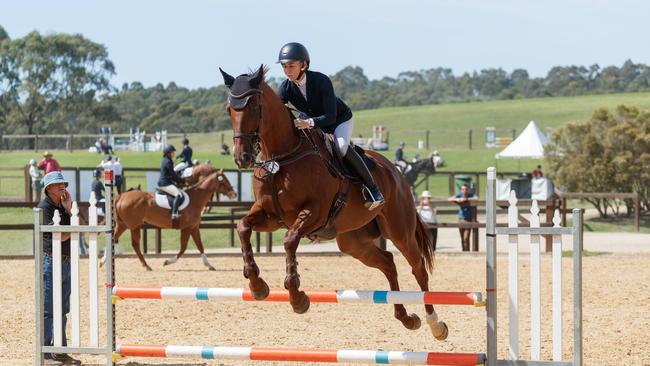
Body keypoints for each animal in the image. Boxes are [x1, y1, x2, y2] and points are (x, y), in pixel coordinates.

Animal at [220, 65, 448, 340]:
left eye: (254, 105)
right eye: (229, 108)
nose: (242, 157)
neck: (280, 158)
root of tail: (396, 172)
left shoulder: (314, 213)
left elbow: (290, 241)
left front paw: (297, 297)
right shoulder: (270, 216)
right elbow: (243, 227)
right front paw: (257, 285)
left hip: (399, 231)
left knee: (418, 269)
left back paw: (436, 324)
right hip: (353, 242)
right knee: (388, 263)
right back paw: (406, 317)